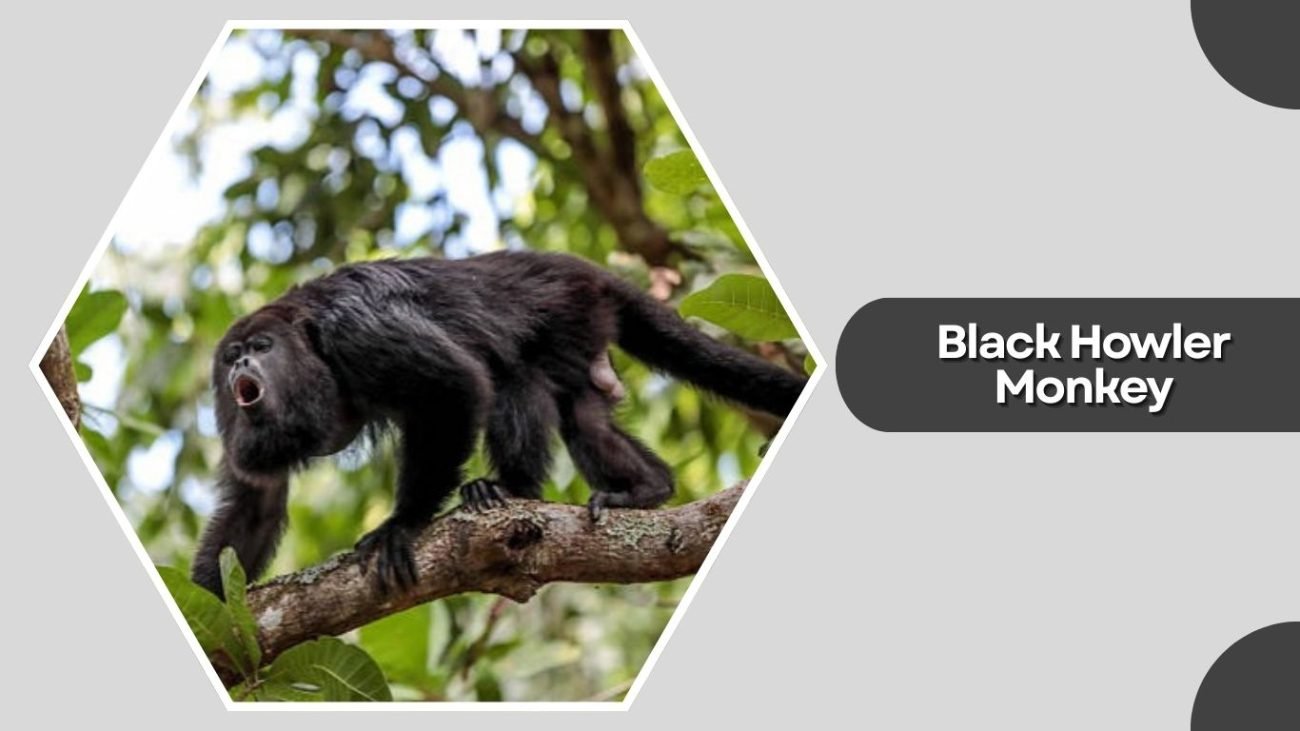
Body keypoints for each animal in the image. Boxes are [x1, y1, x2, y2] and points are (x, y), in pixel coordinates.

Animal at [191, 251, 806, 599]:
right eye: (233, 355)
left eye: (262, 348)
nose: (240, 367)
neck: (308, 342)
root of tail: (588, 271)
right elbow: (255, 502)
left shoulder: (357, 331)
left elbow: (455, 386)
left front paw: (402, 525)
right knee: (583, 416)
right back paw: (648, 487)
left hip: (569, 310)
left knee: (514, 377)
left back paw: (509, 490)